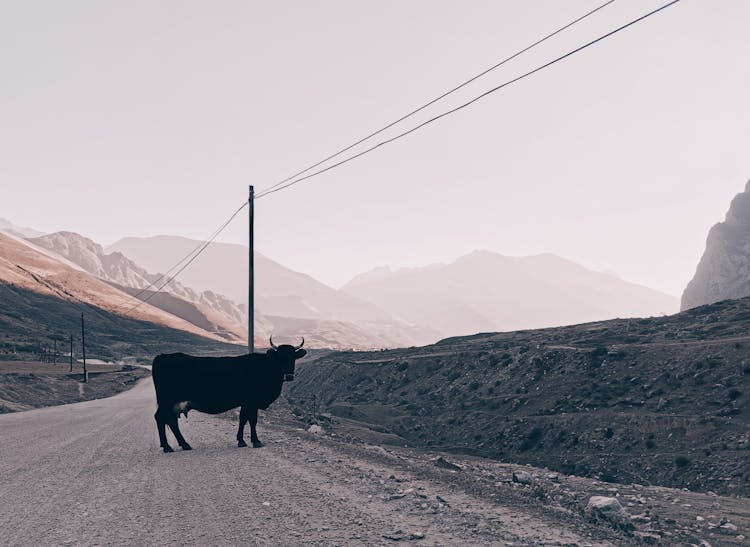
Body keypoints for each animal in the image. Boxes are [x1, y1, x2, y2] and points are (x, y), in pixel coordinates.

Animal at [151, 338, 306, 454]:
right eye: (280, 358)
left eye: (293, 357)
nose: (289, 376)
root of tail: (162, 356)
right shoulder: (252, 402)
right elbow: (252, 420)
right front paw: (255, 441)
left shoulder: (246, 403)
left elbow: (243, 419)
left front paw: (241, 440)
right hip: (166, 400)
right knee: (160, 418)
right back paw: (167, 447)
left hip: (173, 403)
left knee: (171, 420)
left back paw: (184, 444)